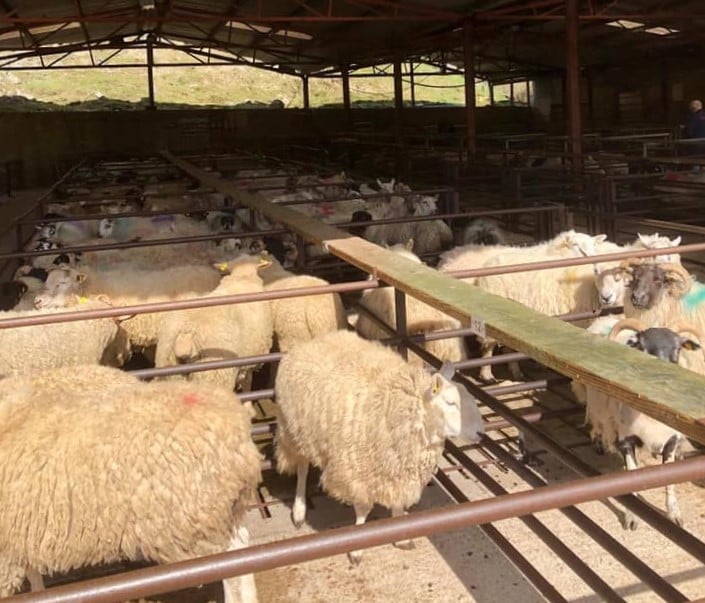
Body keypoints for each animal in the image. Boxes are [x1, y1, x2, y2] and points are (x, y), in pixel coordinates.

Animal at [0, 370, 261, 602]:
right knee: (241, 550)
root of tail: (238, 424)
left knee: (231, 568)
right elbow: (34, 575)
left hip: (196, 521)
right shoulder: (19, 536)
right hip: (222, 510)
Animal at [274, 330, 484, 563]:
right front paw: (357, 547)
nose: (481, 433)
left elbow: (398, 502)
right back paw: (299, 510)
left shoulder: (400, 468)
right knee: (302, 468)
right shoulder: (358, 467)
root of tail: (313, 341)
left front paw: (401, 535)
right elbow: (363, 508)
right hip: (294, 431)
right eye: (451, 403)